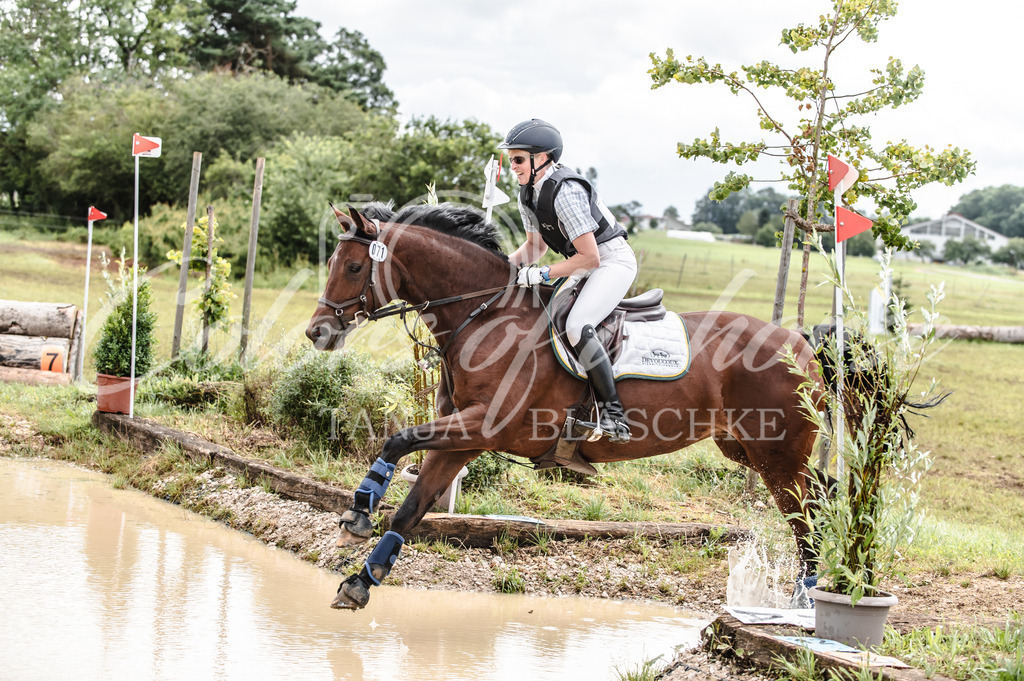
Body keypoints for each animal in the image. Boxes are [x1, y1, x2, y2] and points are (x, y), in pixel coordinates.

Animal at [303, 201, 823, 610]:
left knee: (806, 516)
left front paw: (357, 516)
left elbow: (397, 440)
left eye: (353, 268)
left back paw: (807, 597)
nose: (316, 333)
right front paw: (360, 579)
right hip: (748, 449)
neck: (485, 316)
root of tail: (799, 343)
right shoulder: (462, 437)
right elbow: (410, 510)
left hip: (776, 456)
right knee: (821, 494)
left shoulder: (481, 426)